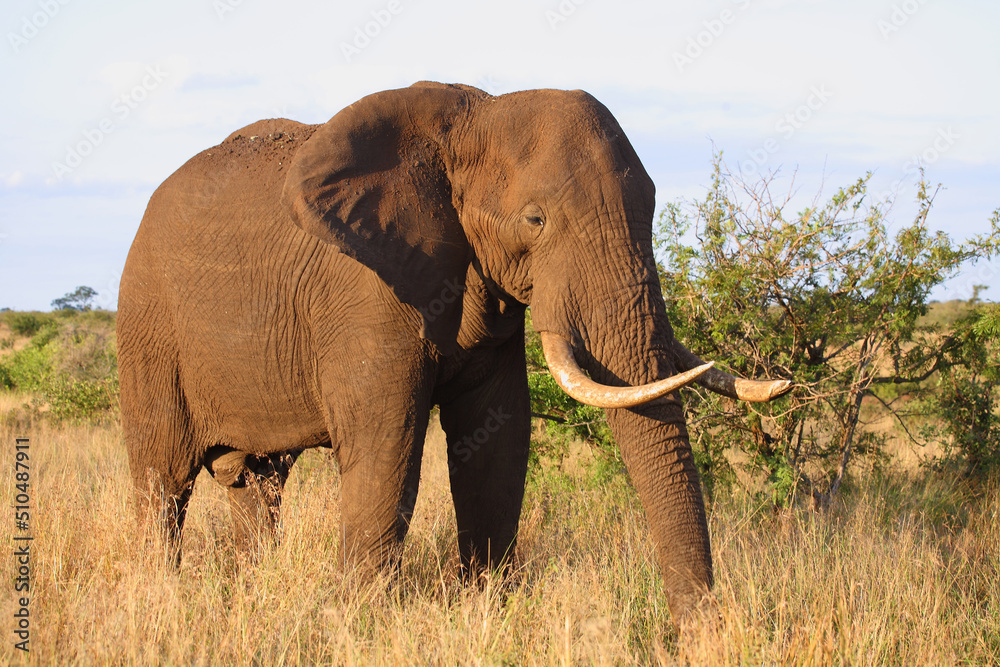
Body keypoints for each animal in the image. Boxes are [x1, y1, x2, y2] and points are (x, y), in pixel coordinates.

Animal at [117, 81, 790, 624]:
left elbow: (499, 439)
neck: (473, 118)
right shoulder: (367, 291)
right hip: (148, 323)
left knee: (258, 486)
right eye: (536, 220)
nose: (697, 631)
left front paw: (487, 608)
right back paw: (157, 596)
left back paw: (248, 588)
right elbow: (388, 442)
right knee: (162, 481)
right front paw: (358, 621)